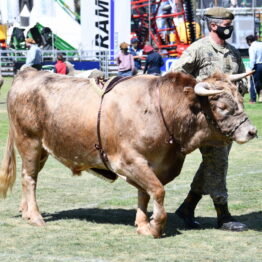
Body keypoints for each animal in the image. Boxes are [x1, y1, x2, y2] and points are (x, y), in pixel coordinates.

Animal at [0, 67, 258, 237]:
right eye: (222, 107)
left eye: (241, 98)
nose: (252, 131)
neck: (162, 109)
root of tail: (28, 73)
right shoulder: (127, 161)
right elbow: (158, 191)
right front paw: (155, 227)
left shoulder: (153, 165)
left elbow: (146, 193)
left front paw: (142, 224)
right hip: (30, 142)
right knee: (29, 178)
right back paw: (35, 216)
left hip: (43, 149)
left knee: (27, 177)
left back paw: (25, 211)